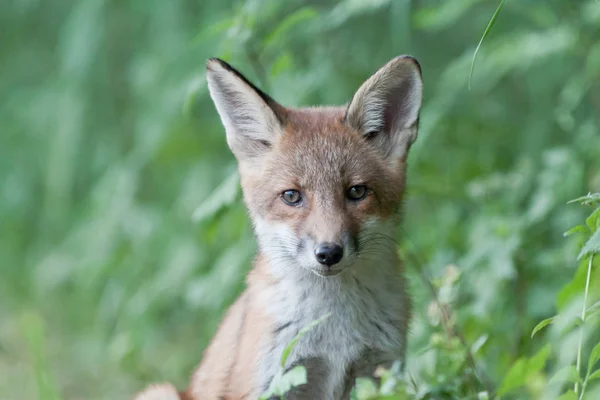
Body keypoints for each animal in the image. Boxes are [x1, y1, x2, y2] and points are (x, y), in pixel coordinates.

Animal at [132, 54, 422, 400]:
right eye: (291, 196)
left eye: (356, 192)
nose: (328, 253)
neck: (334, 333)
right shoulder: (274, 382)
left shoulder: (382, 372)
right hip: (159, 391)